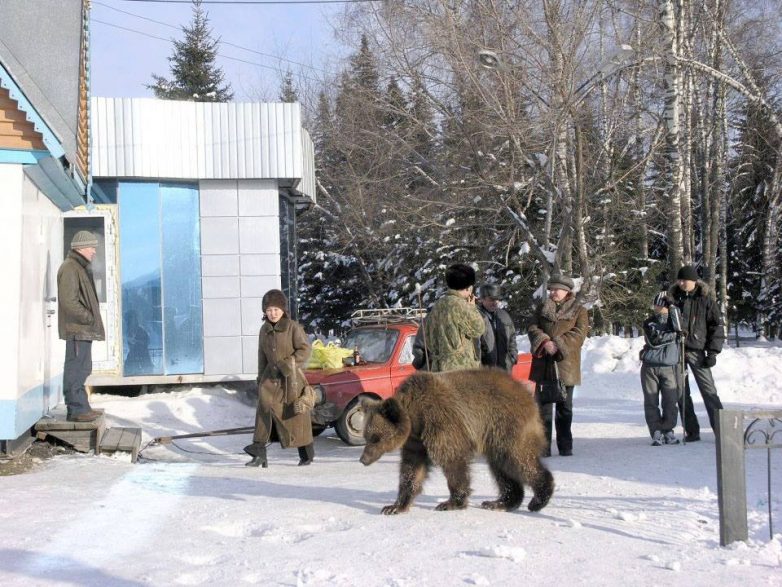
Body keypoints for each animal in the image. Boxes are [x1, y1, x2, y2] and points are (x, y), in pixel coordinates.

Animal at [362, 370, 556, 516]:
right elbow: (411, 470)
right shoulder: (415, 441)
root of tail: (524, 391)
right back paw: (499, 502)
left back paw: (538, 499)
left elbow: (452, 461)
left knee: (519, 460)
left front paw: (451, 503)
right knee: (501, 469)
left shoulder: (440, 423)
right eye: (366, 436)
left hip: (506, 425)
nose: (363, 459)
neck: (416, 417)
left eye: (376, 438)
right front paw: (394, 507)